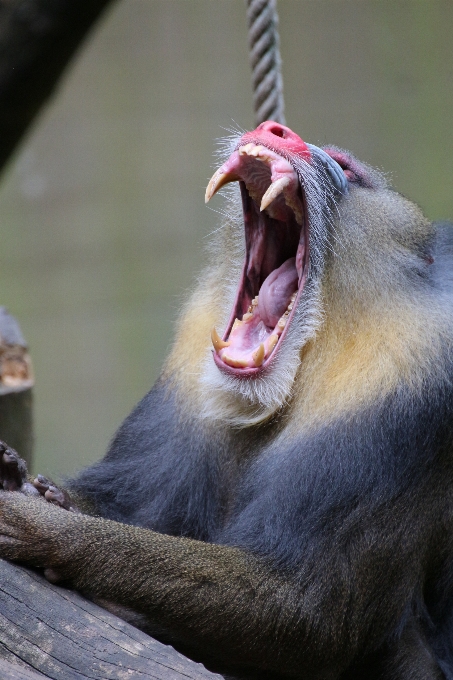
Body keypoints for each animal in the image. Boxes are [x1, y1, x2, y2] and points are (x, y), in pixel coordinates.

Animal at [0, 122, 448, 680]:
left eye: (346, 169)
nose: (276, 130)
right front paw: (21, 481)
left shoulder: (399, 393)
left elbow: (302, 610)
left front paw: (42, 525)